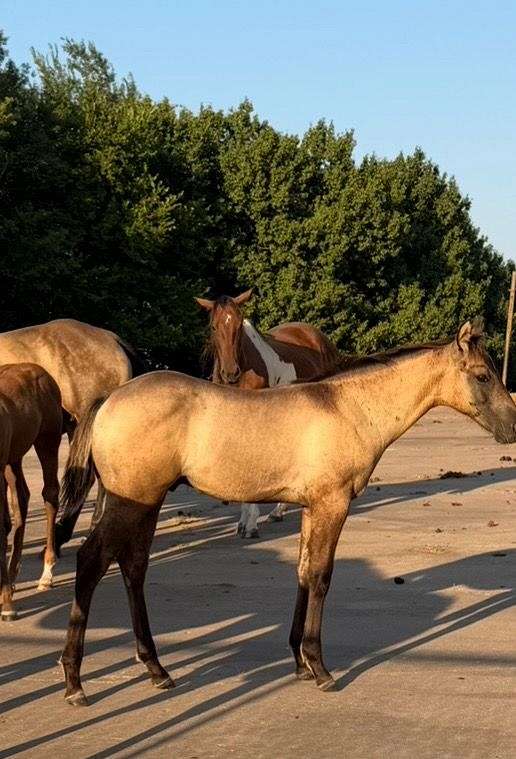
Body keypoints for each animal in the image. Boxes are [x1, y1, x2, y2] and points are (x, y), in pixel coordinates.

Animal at [58, 318, 516, 705]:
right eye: (482, 375)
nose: (512, 429)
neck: (347, 407)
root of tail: (110, 397)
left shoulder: (312, 508)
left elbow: (302, 571)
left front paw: (298, 662)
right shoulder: (333, 505)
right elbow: (321, 577)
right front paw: (319, 666)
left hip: (143, 504)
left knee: (133, 567)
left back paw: (156, 669)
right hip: (130, 502)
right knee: (92, 561)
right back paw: (75, 682)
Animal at [196, 289, 342, 536]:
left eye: (238, 326)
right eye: (213, 327)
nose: (231, 373)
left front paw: (251, 524)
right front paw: (243, 521)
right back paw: (278, 511)